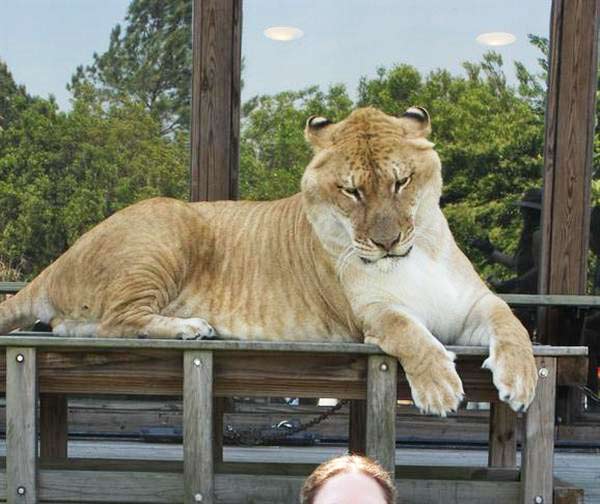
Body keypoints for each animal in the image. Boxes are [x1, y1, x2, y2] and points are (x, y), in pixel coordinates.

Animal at [0, 105, 536, 414]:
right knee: (117, 322)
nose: (386, 243)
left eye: (401, 181)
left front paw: (522, 379)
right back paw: (191, 327)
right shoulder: (371, 315)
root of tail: (61, 258)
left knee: (78, 328)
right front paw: (440, 388)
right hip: (168, 226)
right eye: (352, 191)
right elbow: (409, 332)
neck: (412, 255)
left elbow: (511, 323)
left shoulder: (473, 304)